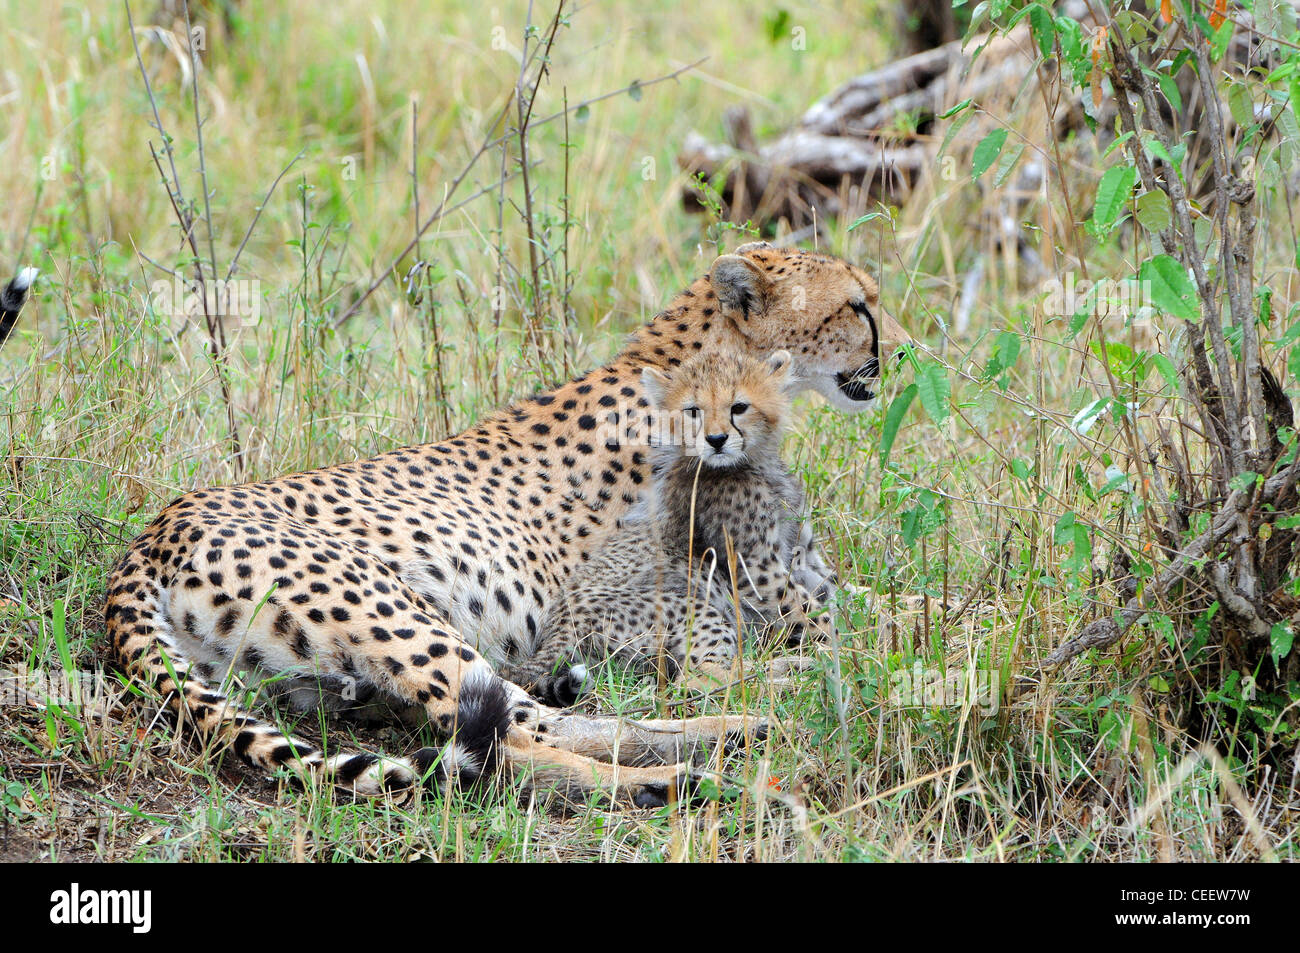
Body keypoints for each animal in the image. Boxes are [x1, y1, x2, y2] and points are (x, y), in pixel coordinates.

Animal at [499, 348, 835, 705]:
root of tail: (554, 635)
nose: (716, 440)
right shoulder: (757, 571)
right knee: (699, 680)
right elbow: (813, 611)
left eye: (739, 407)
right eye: (693, 411)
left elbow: (831, 592)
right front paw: (846, 645)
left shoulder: (798, 556)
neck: (747, 463)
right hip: (692, 605)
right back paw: (784, 680)